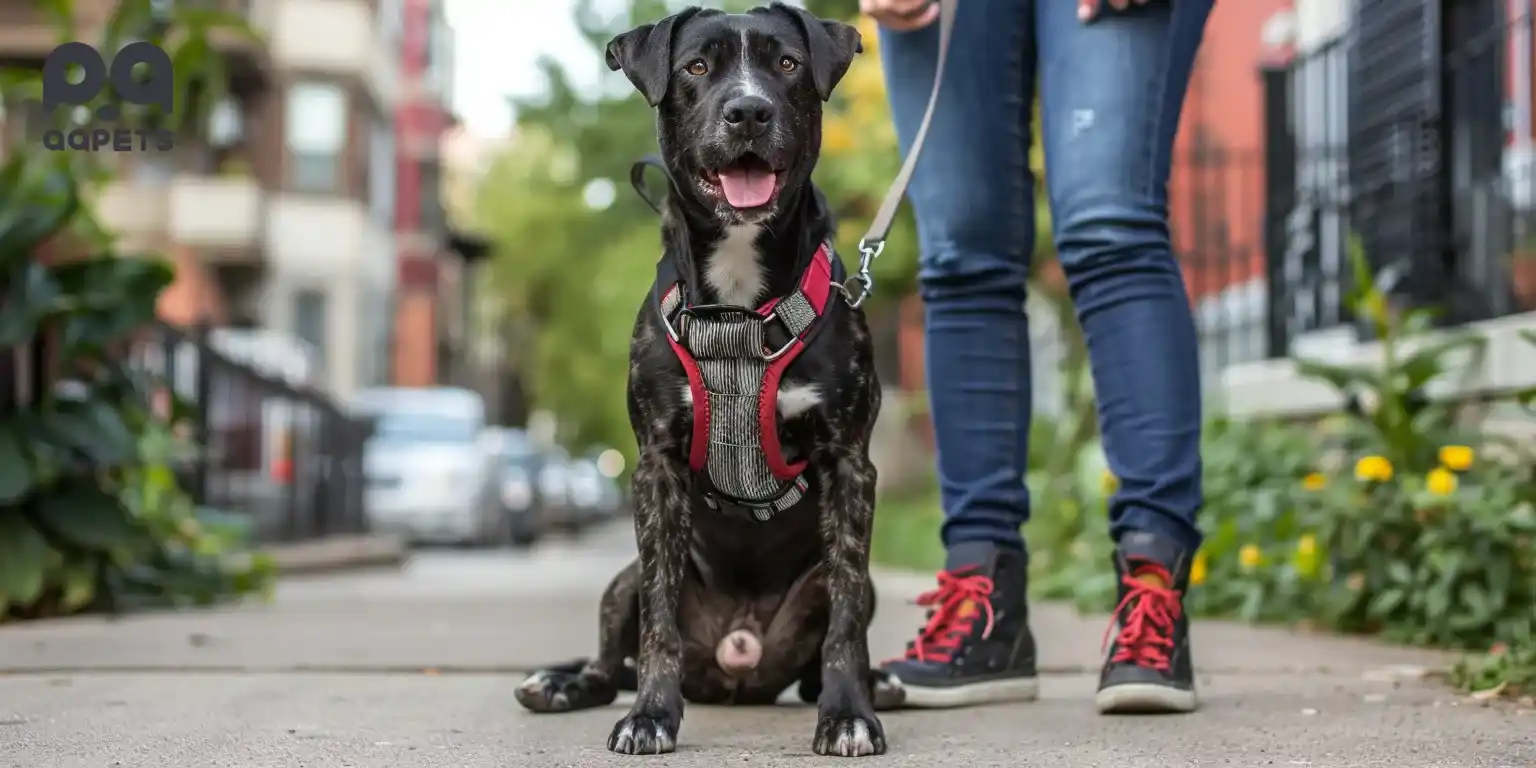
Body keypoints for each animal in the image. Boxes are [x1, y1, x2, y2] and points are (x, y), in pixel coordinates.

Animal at [516, 3, 897, 758]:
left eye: (786, 63)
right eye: (697, 66)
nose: (747, 111)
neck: (739, 299)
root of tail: (737, 664)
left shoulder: (850, 464)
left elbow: (845, 625)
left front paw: (848, 715)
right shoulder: (656, 467)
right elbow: (658, 622)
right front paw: (651, 716)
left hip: (850, 588)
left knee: (837, 632)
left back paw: (881, 685)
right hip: (621, 581)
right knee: (610, 659)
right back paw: (562, 684)